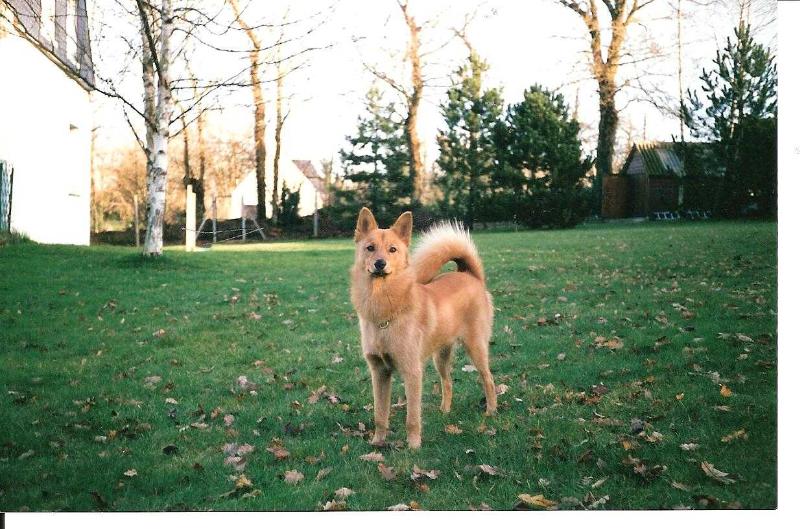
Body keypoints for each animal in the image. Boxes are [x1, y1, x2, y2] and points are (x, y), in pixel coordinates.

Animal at [348, 208, 494, 448]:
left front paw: (414, 446)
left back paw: (491, 411)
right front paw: (378, 442)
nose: (380, 263)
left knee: (488, 379)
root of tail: (469, 275)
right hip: (440, 356)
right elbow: (380, 415)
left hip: (476, 348)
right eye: (370, 248)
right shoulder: (379, 372)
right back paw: (445, 410)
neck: (386, 310)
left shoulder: (412, 373)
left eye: (393, 249)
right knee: (448, 382)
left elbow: (412, 417)